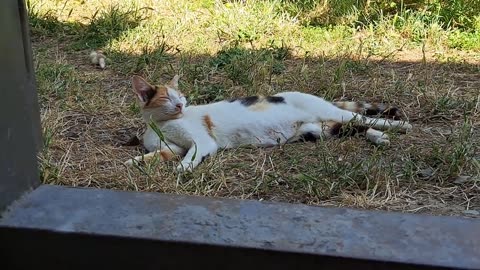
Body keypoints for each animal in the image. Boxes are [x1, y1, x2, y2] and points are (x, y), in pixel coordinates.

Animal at [124, 75, 412, 172]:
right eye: (166, 98)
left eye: (181, 96)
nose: (181, 105)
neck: (160, 126)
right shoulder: (173, 147)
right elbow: (159, 155)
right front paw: (133, 162)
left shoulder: (201, 143)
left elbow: (191, 155)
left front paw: (182, 169)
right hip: (317, 130)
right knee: (355, 127)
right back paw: (379, 138)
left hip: (331, 115)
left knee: (365, 118)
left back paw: (400, 127)